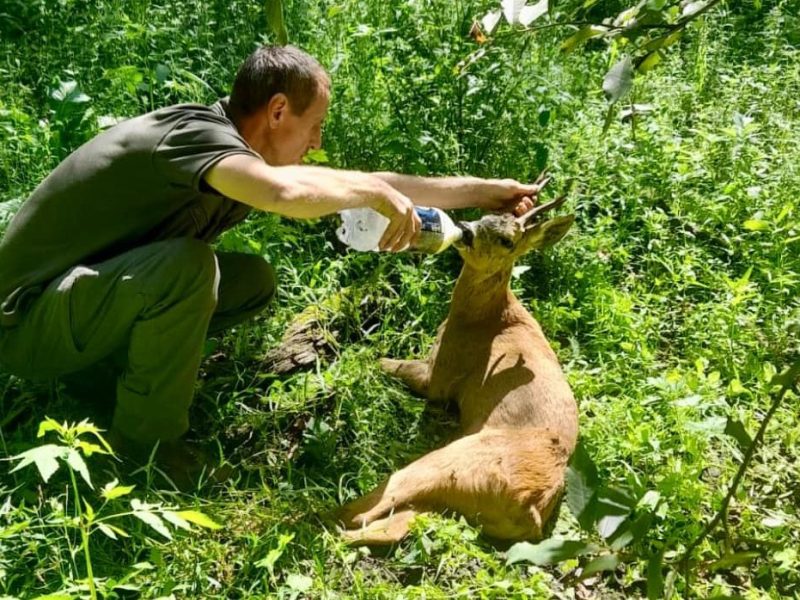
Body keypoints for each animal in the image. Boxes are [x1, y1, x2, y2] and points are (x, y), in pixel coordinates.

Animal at [334, 191, 580, 544]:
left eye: (507, 240)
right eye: (486, 216)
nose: (465, 230)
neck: (486, 318)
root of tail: (531, 511)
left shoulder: (440, 375)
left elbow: (387, 363)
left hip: (456, 459)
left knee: (364, 511)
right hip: (450, 501)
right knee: (388, 526)